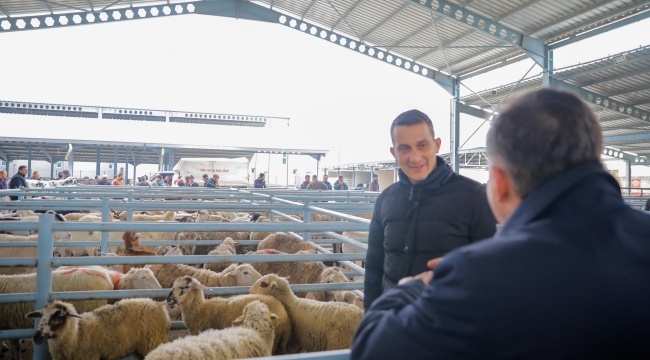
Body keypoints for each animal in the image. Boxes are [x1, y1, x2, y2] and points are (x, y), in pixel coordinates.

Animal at [27, 298, 170, 360]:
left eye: (58, 317)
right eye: (41, 316)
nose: (36, 337)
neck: (77, 335)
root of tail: (157, 304)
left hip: (153, 342)